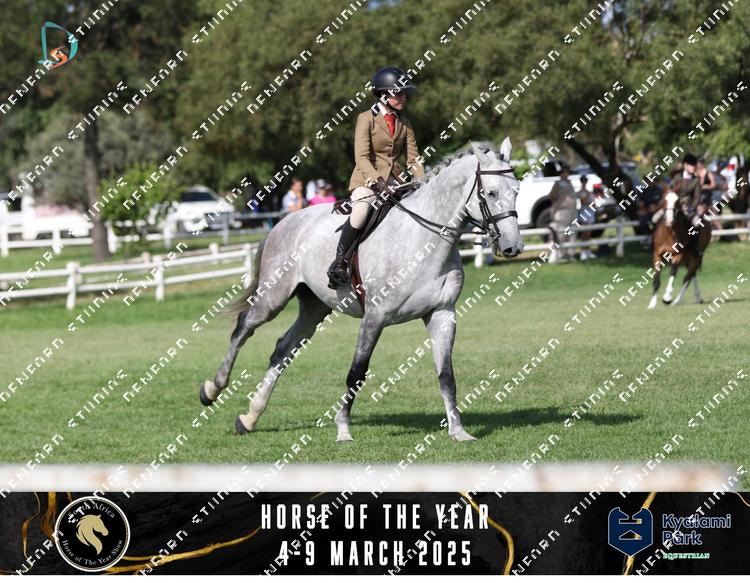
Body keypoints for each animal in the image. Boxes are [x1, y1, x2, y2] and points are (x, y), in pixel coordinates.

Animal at [199, 140, 523, 442]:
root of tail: (285, 222)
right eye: (490, 193)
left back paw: (250, 417)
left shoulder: (442, 314)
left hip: (315, 307)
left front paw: (458, 431)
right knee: (243, 329)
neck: (423, 242)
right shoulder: (374, 317)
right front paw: (343, 430)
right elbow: (357, 372)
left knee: (283, 349)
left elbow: (446, 375)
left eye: (517, 190)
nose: (512, 247)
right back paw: (212, 389)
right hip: (273, 298)